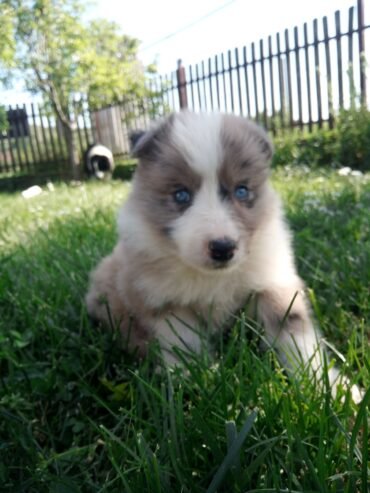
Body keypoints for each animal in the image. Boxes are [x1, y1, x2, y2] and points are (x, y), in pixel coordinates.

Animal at [86, 110, 362, 400]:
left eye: (241, 190)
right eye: (181, 195)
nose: (222, 248)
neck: (213, 278)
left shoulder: (272, 283)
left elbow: (297, 335)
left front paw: (332, 389)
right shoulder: (163, 301)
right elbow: (183, 342)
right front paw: (194, 382)